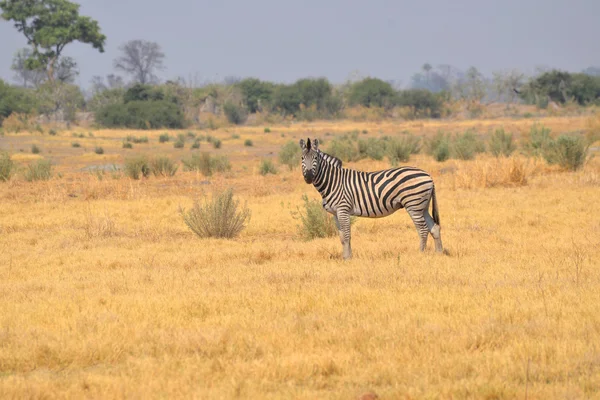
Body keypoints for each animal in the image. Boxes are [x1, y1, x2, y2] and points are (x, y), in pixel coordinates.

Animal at [298, 138, 442, 260]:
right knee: (434, 228)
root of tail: (428, 175)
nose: (308, 177)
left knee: (423, 230)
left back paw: (420, 254)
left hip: (413, 205)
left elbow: (347, 235)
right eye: (302, 158)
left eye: (316, 158)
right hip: (422, 206)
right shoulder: (335, 213)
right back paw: (439, 253)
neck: (333, 182)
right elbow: (342, 237)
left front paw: (348, 259)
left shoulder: (343, 210)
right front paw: (345, 257)